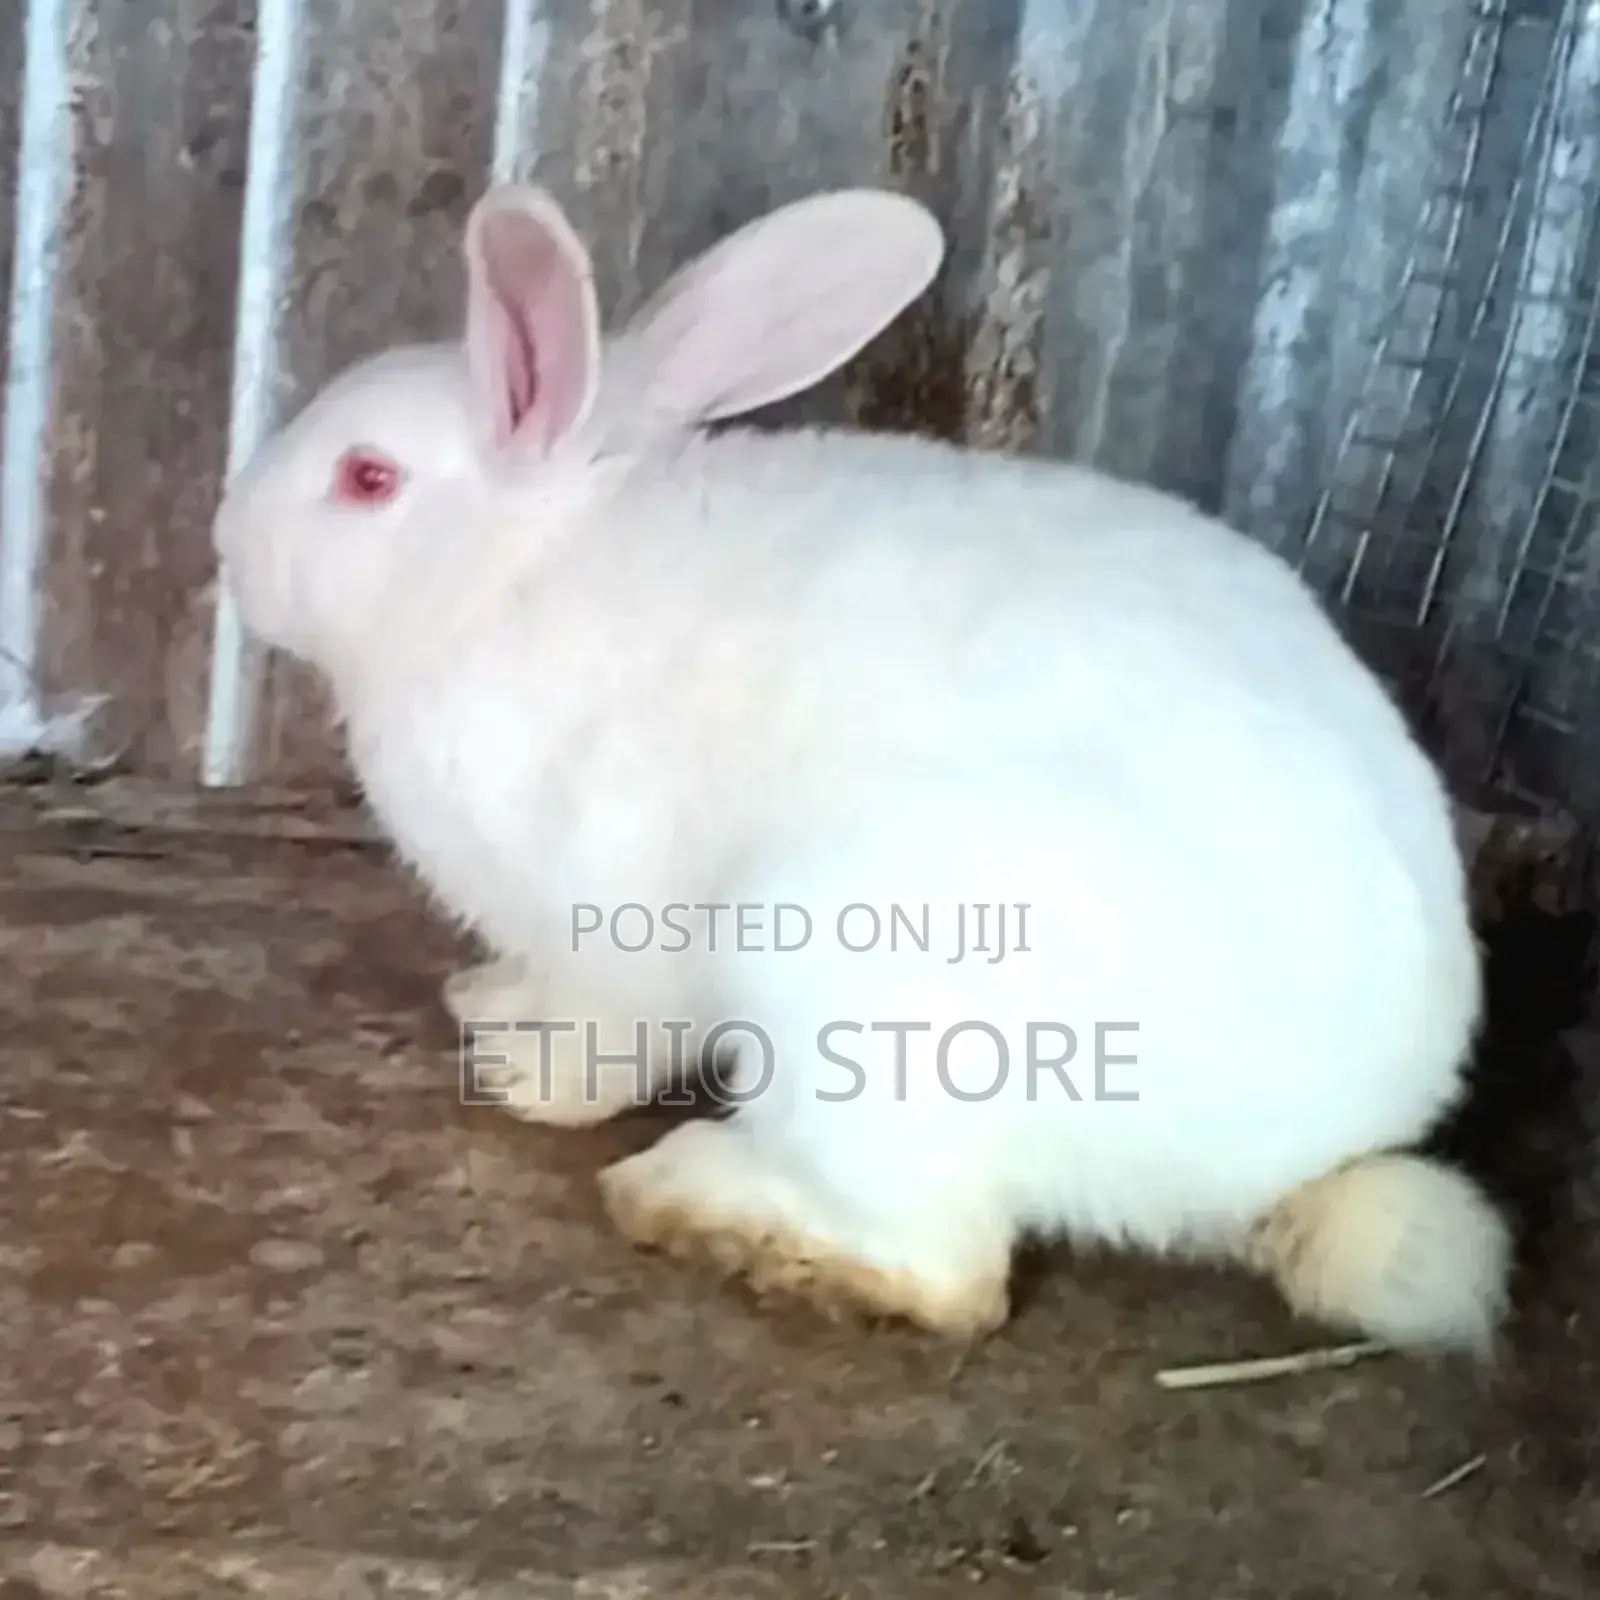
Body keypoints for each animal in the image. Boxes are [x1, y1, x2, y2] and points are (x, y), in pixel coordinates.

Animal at [211, 180, 1511, 1356]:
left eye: (366, 478)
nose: (227, 546)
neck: (510, 575)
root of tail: (1307, 1156)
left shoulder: (611, 920)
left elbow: (607, 1040)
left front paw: (529, 1077)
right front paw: (485, 1005)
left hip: (851, 979)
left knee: (948, 1271)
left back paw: (700, 1198)